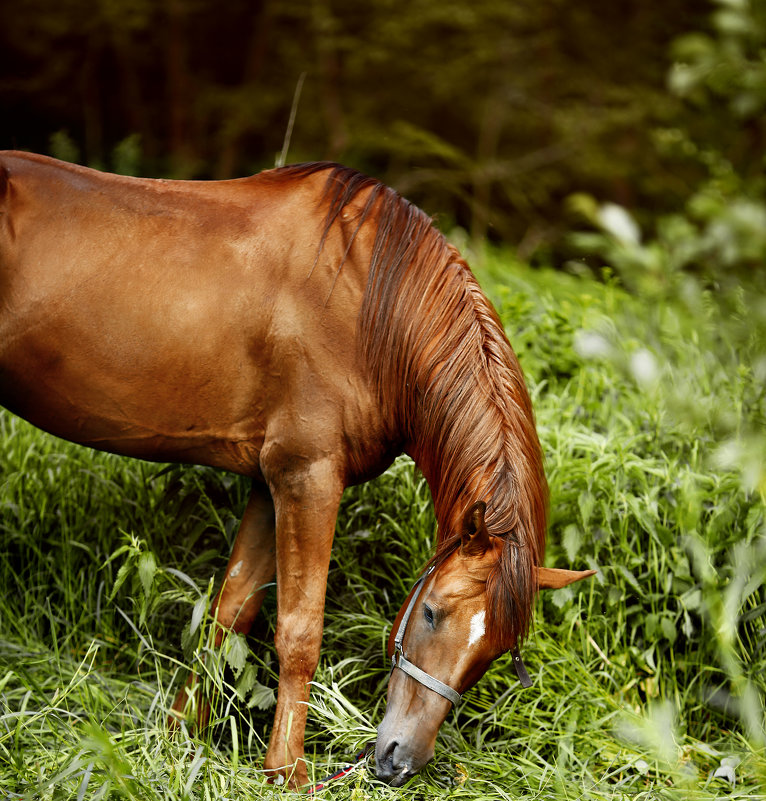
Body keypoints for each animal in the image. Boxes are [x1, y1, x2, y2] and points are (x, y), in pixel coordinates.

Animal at [0, 152, 596, 788]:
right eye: (432, 613)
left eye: (491, 654)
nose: (398, 760)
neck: (369, 307)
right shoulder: (307, 477)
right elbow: (300, 630)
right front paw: (287, 770)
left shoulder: (270, 485)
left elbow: (231, 613)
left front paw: (180, 736)